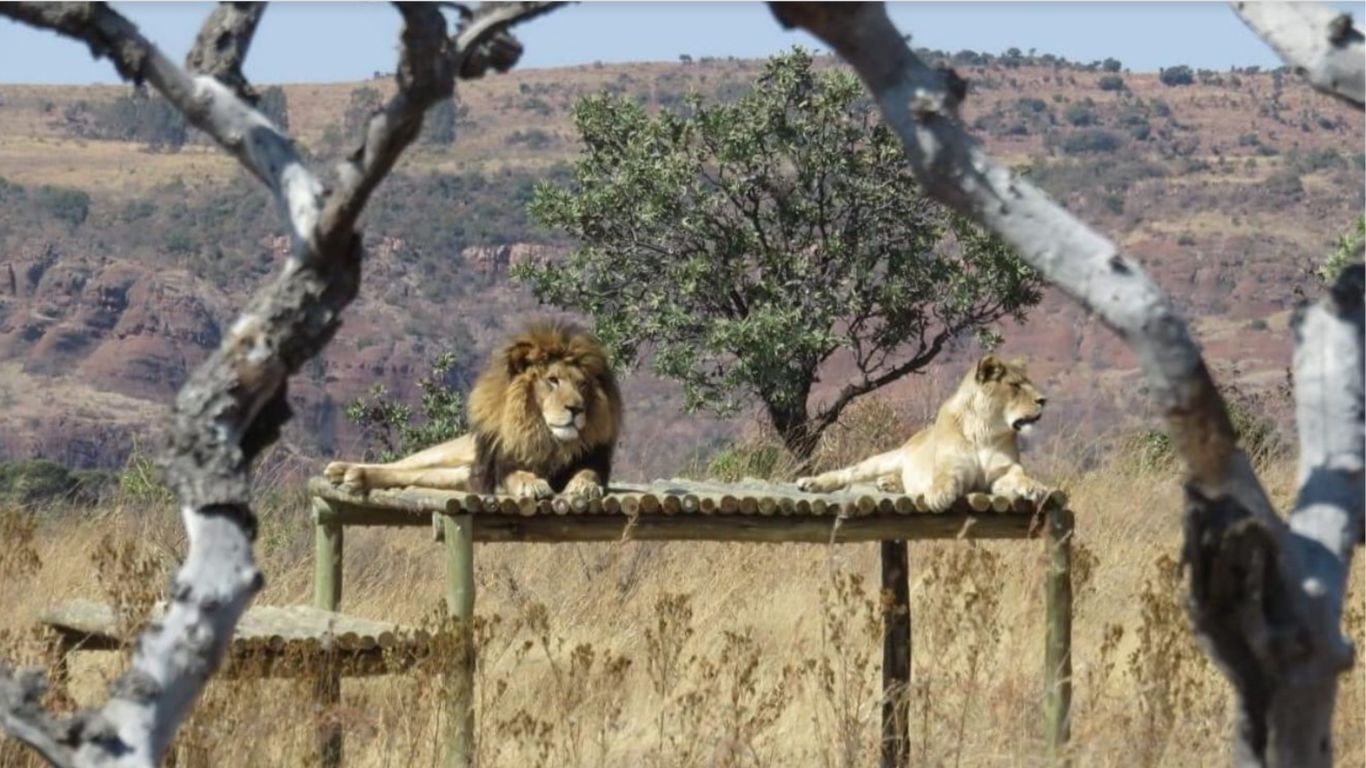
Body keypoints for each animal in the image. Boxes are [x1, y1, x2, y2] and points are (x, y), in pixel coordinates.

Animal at [322, 319, 622, 500]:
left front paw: (583, 486)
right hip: (450, 454)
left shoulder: (595, 460)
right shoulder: (498, 471)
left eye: (582, 384)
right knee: (403, 464)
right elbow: (516, 474)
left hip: (459, 473)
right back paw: (343, 469)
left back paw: (353, 476)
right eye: (553, 380)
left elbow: (589, 472)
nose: (576, 408)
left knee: (412, 474)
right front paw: (532, 483)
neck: (547, 438)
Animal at [797, 355, 1049, 511]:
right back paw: (812, 483)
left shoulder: (1001, 472)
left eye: (1028, 383)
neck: (984, 431)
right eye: (1015, 386)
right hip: (883, 460)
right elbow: (944, 477)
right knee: (848, 473)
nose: (1044, 400)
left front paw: (1036, 487)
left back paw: (888, 483)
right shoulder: (951, 465)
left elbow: (1018, 476)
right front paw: (939, 495)